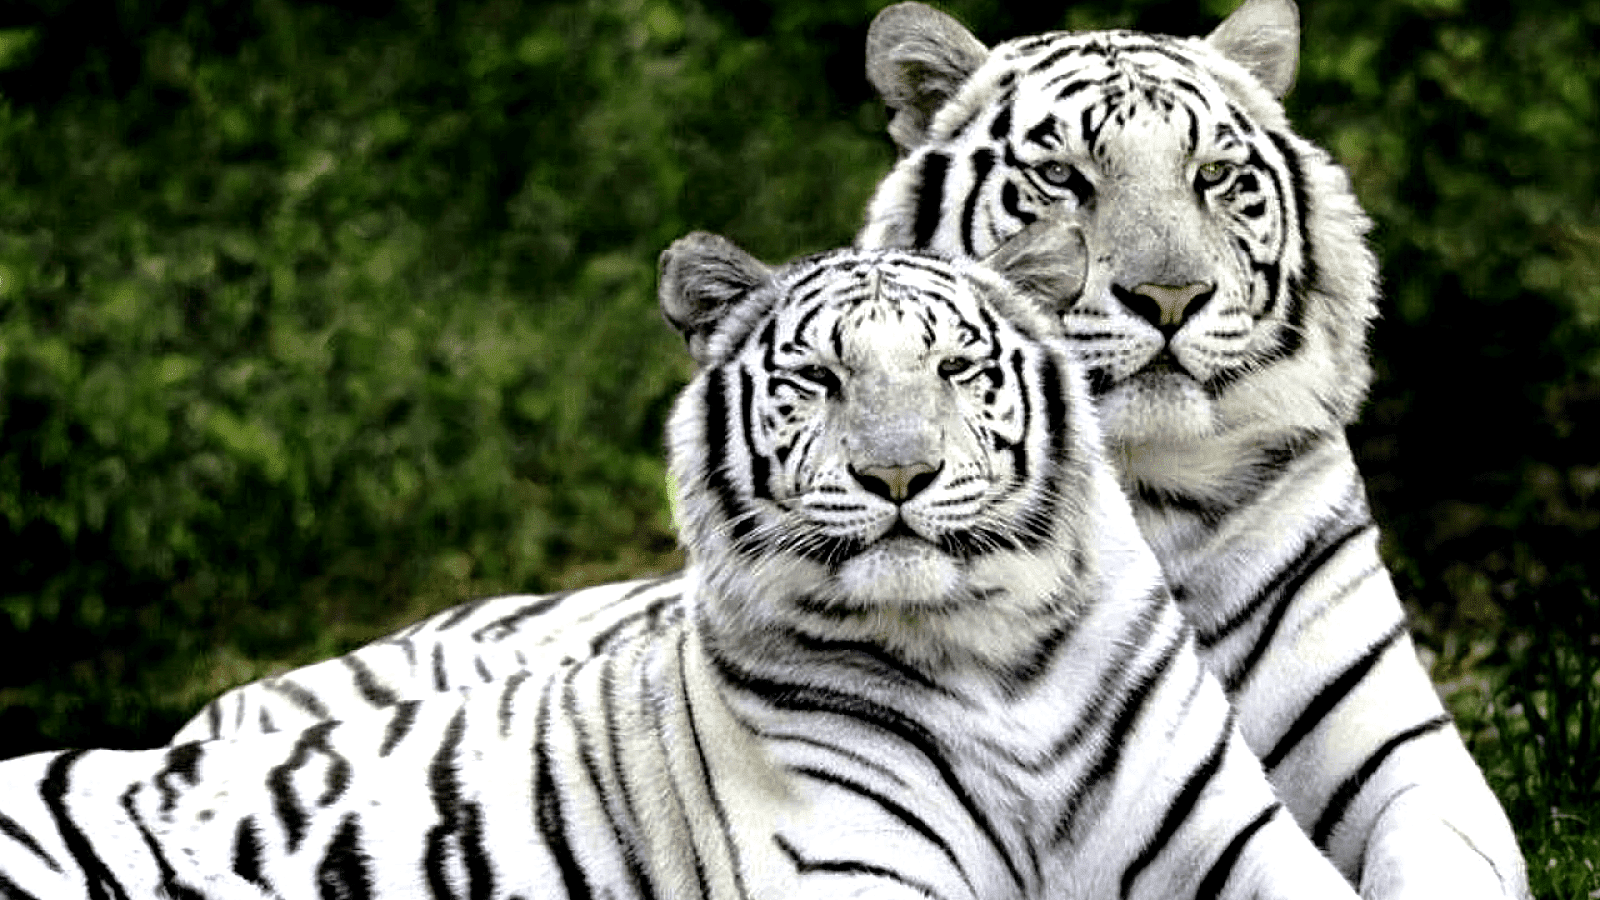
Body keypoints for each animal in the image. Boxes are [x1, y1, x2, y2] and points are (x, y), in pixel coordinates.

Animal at [0, 233, 1369, 900]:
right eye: (819, 378)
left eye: (955, 368)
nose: (899, 476)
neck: (991, 656)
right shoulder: (848, 875)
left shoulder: (1235, 841)